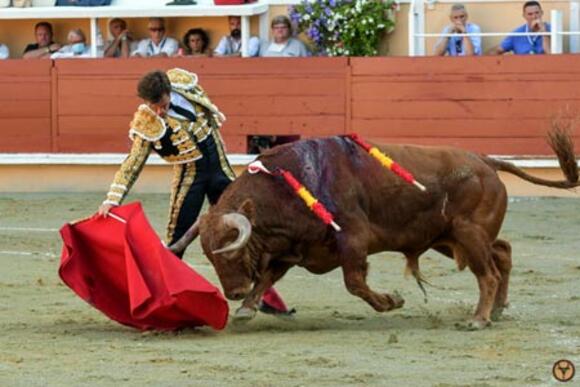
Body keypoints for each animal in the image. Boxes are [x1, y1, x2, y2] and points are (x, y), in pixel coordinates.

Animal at [170, 132, 576, 328]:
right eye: (208, 256)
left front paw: (391, 301)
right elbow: (268, 278)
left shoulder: (353, 240)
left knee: (487, 273)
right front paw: (247, 309)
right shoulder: (295, 249)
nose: (233, 293)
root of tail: (484, 160)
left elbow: (354, 282)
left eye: (234, 247)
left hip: (469, 234)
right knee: (503, 252)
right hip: (450, 238)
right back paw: (498, 311)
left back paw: (478, 319)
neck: (290, 184)